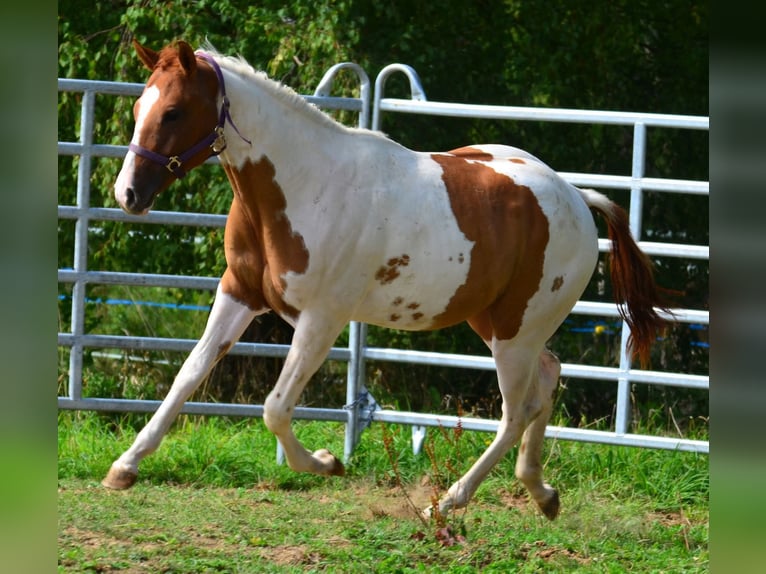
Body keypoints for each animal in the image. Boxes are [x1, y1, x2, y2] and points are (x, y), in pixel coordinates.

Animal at [106, 39, 667, 520]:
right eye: (137, 110)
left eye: (173, 112)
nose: (127, 194)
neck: (302, 185)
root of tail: (577, 199)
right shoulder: (238, 294)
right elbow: (188, 375)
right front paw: (124, 467)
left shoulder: (321, 319)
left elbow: (275, 407)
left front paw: (328, 462)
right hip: (497, 324)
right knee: (548, 378)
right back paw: (541, 493)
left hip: (515, 333)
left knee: (517, 410)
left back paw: (447, 503)